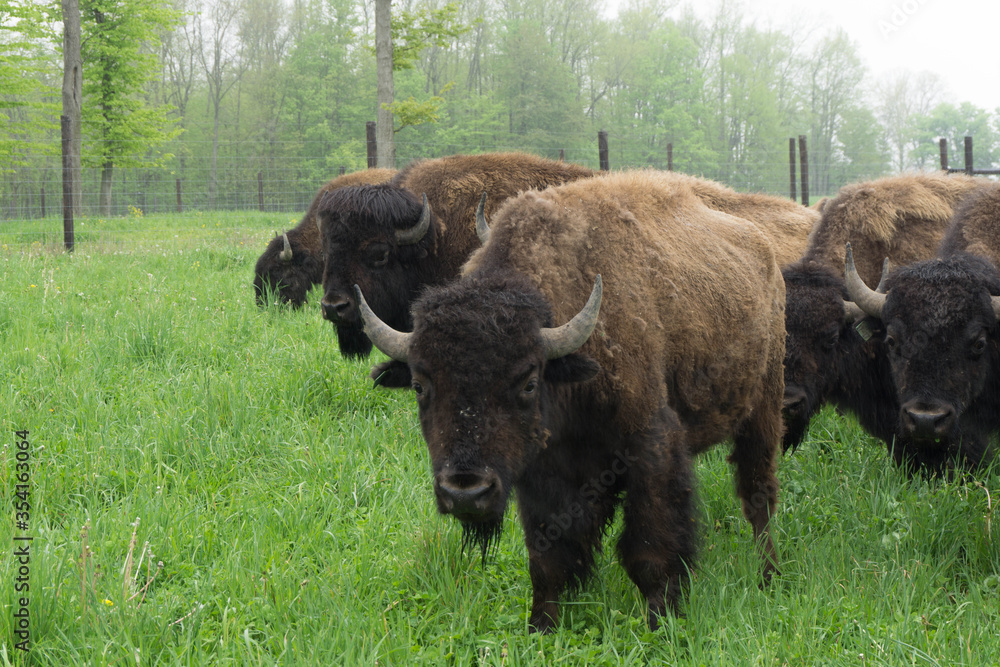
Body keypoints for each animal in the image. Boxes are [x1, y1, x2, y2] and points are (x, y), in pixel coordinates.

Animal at [356, 170, 784, 636]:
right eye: (419, 385)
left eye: (528, 382)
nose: (465, 492)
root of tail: (764, 252)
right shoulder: (542, 475)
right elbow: (548, 558)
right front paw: (541, 627)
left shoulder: (651, 448)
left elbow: (650, 547)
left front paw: (661, 621)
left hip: (763, 411)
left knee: (758, 497)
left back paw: (769, 577)